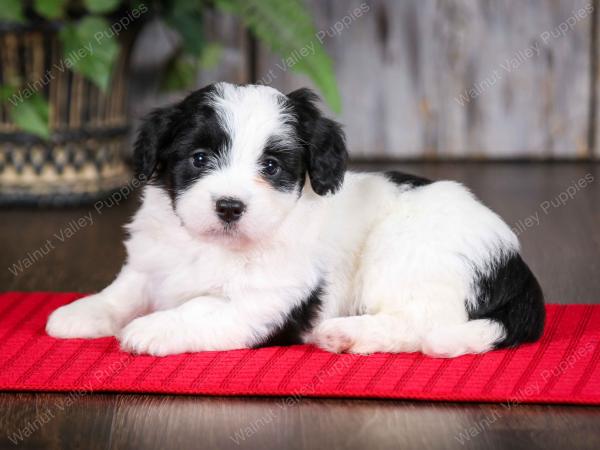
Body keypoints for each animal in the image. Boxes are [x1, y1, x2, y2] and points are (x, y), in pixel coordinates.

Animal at [45, 82, 544, 356]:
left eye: (271, 167)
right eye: (199, 158)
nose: (229, 206)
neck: (212, 245)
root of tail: (516, 261)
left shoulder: (262, 301)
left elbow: (201, 307)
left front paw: (153, 328)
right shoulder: (151, 263)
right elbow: (122, 292)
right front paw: (82, 312)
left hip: (409, 254)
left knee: (423, 323)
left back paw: (347, 334)